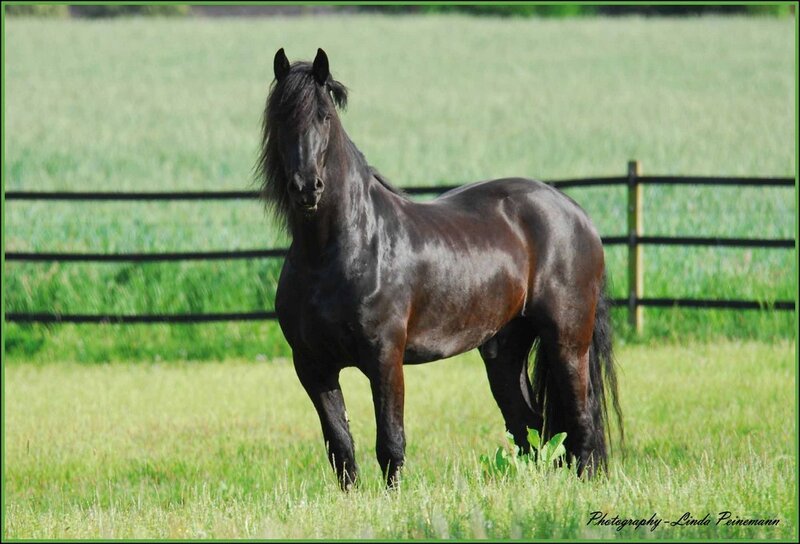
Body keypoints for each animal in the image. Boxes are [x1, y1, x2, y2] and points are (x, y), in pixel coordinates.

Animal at [257, 48, 623, 489]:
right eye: (281, 118)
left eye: (324, 116)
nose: (307, 188)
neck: (336, 250)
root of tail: (573, 211)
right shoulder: (313, 367)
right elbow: (341, 448)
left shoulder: (385, 358)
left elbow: (390, 443)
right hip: (503, 351)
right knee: (530, 430)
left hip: (567, 341)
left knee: (581, 423)